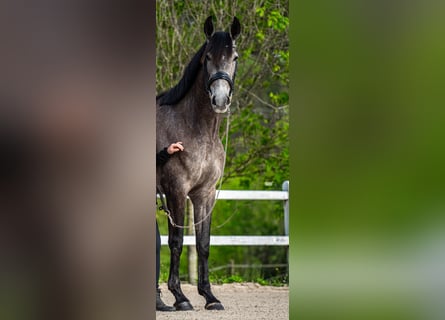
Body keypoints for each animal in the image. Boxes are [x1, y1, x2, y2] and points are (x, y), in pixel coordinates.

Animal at [156, 15, 239, 310]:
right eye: (208, 57)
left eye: (235, 57)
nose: (220, 100)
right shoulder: (176, 191)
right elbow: (177, 241)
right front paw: (180, 297)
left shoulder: (204, 194)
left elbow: (203, 243)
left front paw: (210, 297)